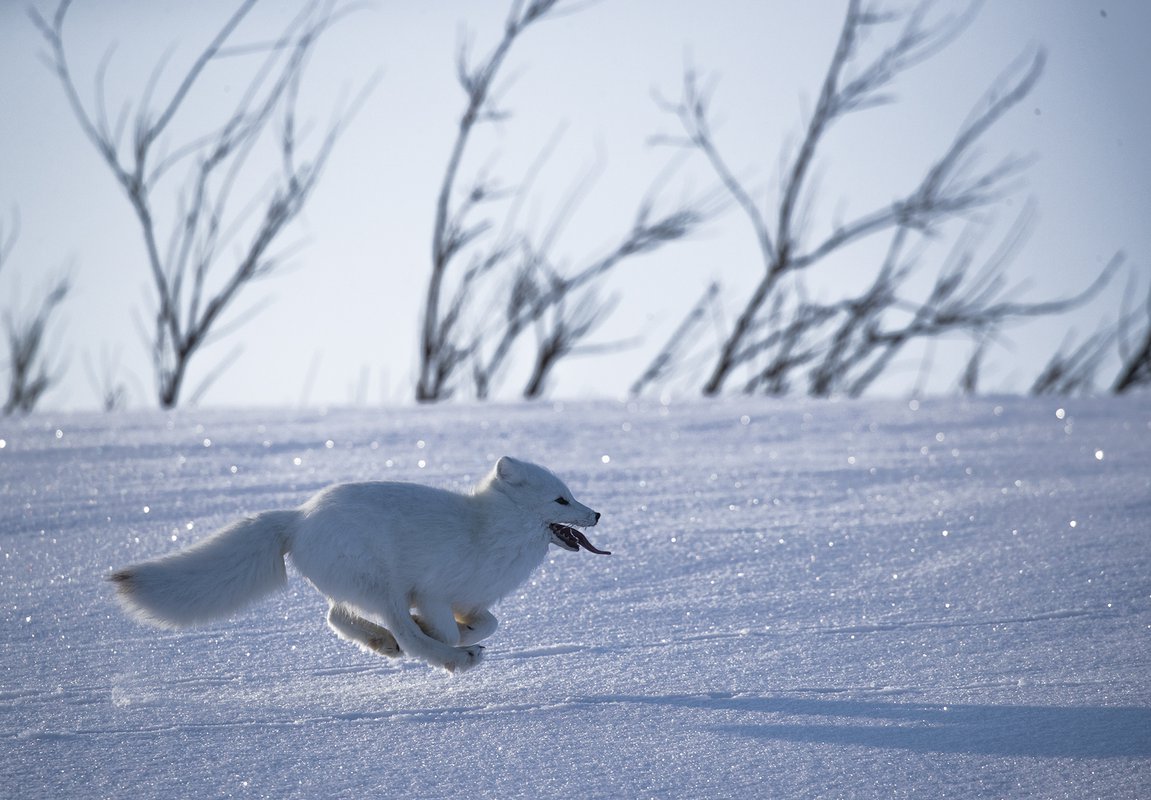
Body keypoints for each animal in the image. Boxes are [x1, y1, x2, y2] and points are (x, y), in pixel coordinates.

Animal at [111, 455, 607, 676]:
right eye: (561, 500)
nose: (598, 514)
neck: (488, 529)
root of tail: (299, 516)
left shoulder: (472, 599)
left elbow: (489, 623)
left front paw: (465, 632)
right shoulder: (432, 590)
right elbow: (445, 629)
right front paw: (448, 641)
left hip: (362, 587)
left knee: (336, 616)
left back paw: (382, 642)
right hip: (381, 584)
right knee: (395, 630)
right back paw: (446, 657)